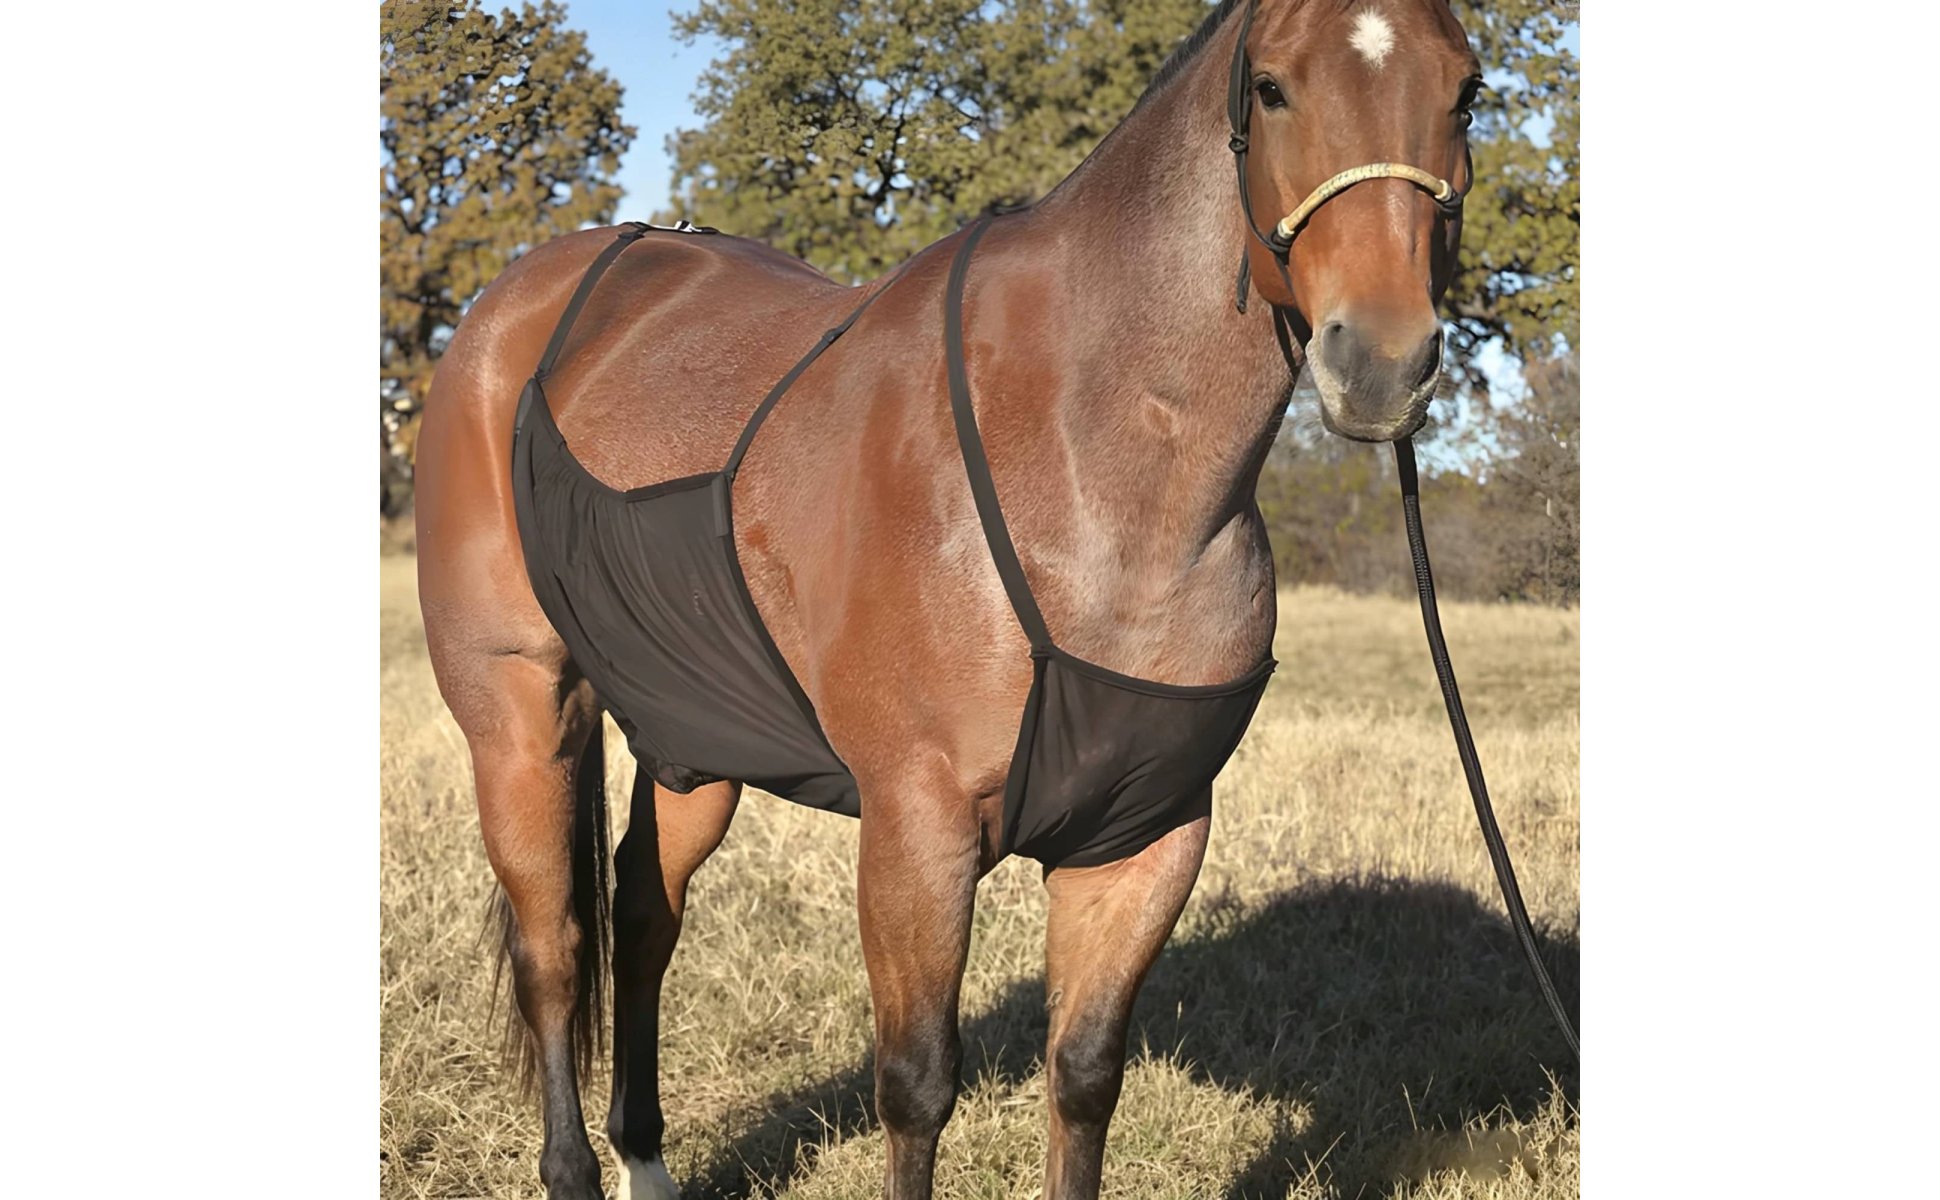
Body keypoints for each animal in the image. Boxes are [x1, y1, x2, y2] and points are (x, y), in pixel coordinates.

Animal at [412, 1, 1480, 1196]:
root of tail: (519, 305)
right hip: (518, 715)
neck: (1089, 470)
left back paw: (646, 1157)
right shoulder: (914, 827)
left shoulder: (1147, 835)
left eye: (1467, 90)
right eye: (1271, 87)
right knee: (551, 944)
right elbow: (917, 1084)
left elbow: (1084, 1075)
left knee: (644, 912)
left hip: (691, 737)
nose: (1382, 363)